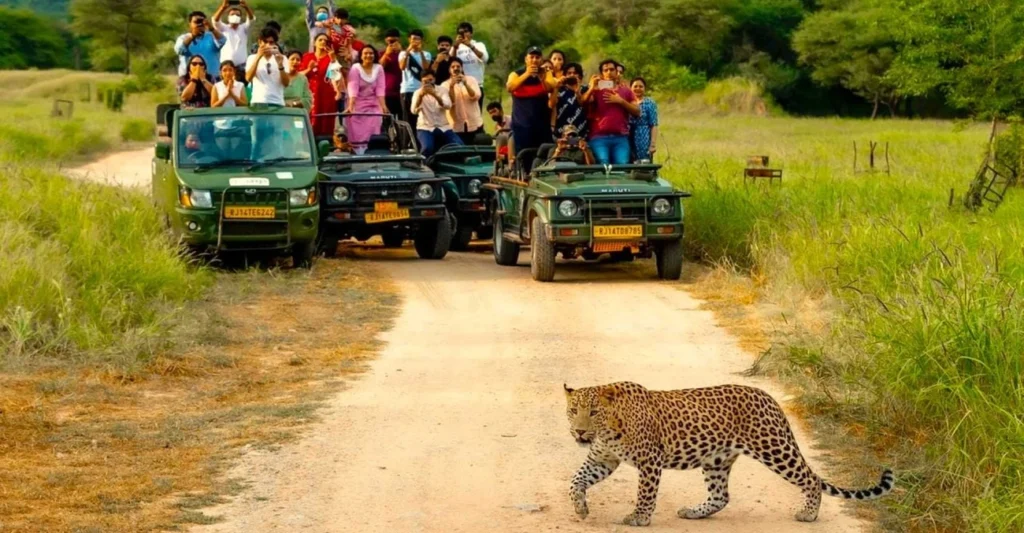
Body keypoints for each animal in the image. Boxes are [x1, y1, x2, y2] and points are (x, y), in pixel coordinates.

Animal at [564, 381, 894, 526]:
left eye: (593, 412)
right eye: (572, 411)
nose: (579, 432)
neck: (609, 429)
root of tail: (769, 397)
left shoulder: (650, 461)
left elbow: (645, 493)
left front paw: (639, 517)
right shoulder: (602, 459)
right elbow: (576, 480)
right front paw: (580, 507)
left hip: (775, 449)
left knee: (811, 479)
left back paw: (809, 514)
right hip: (717, 460)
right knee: (721, 496)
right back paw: (694, 512)